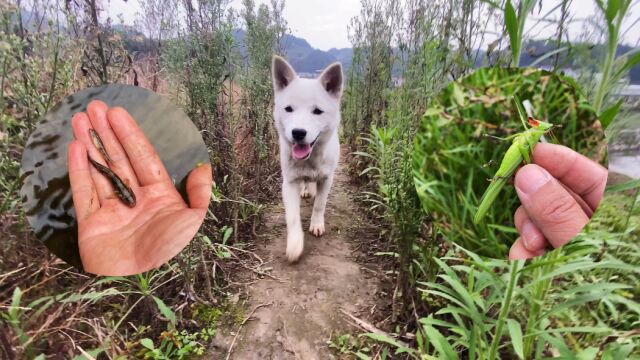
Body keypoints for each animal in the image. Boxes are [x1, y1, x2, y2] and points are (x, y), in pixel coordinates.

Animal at [272, 54, 344, 262]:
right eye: (288, 109)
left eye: (317, 111)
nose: (298, 133)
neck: (309, 160)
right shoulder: (289, 183)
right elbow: (292, 217)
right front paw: (295, 244)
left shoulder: (327, 179)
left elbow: (320, 204)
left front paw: (317, 224)